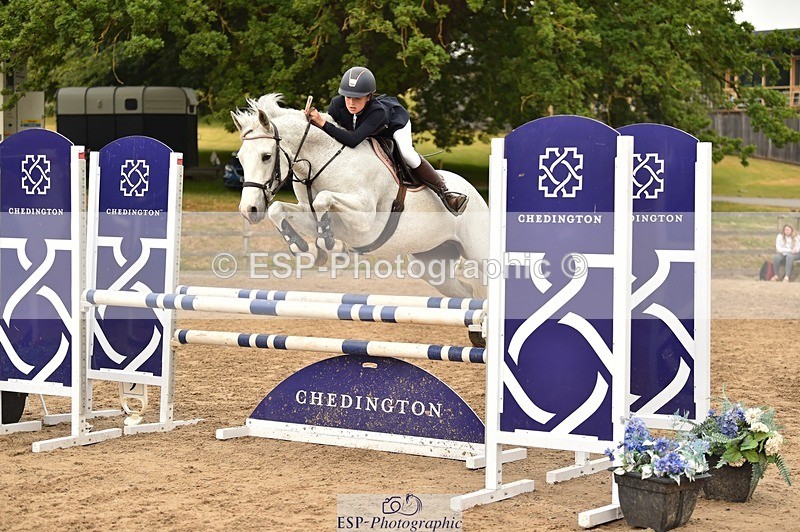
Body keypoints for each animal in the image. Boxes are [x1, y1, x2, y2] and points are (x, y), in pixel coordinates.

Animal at [231, 94, 488, 299]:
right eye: (240, 158)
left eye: (266, 156)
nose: (248, 210)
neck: (322, 162)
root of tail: (475, 194)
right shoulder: (309, 211)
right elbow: (279, 210)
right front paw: (306, 249)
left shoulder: (364, 219)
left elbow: (323, 199)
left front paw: (330, 245)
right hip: (432, 264)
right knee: (468, 294)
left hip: (478, 253)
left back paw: (453, 199)